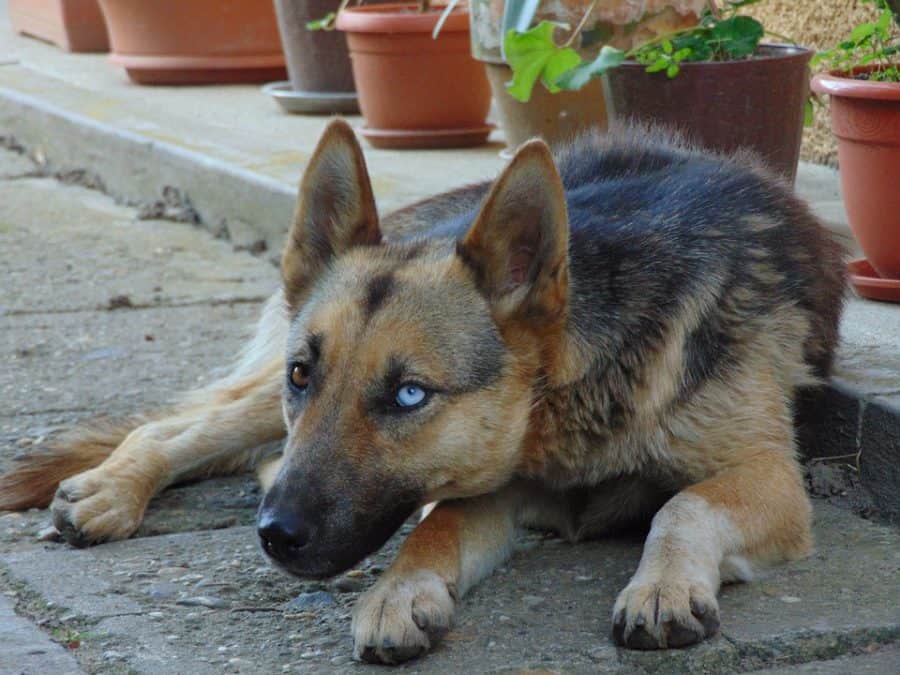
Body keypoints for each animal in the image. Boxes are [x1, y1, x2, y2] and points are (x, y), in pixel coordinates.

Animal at [0, 121, 844, 664]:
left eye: (409, 396)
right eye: (305, 376)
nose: (275, 535)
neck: (570, 395)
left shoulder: (770, 475)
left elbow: (683, 504)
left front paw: (662, 583)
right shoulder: (489, 486)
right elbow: (434, 525)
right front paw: (399, 590)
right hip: (256, 400)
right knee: (177, 427)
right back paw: (112, 488)